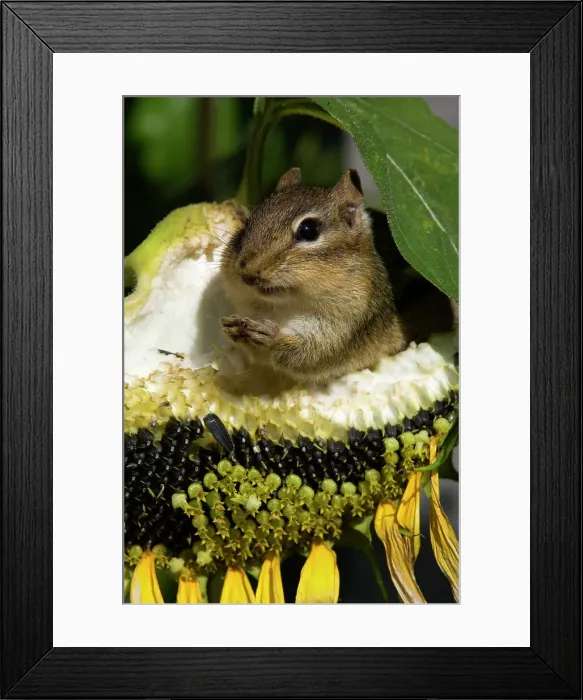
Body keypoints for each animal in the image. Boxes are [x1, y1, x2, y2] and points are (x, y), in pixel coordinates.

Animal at [220, 167, 454, 387]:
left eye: (308, 230)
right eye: (247, 223)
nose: (247, 273)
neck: (285, 306)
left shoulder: (348, 324)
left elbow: (310, 354)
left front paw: (270, 337)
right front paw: (234, 330)